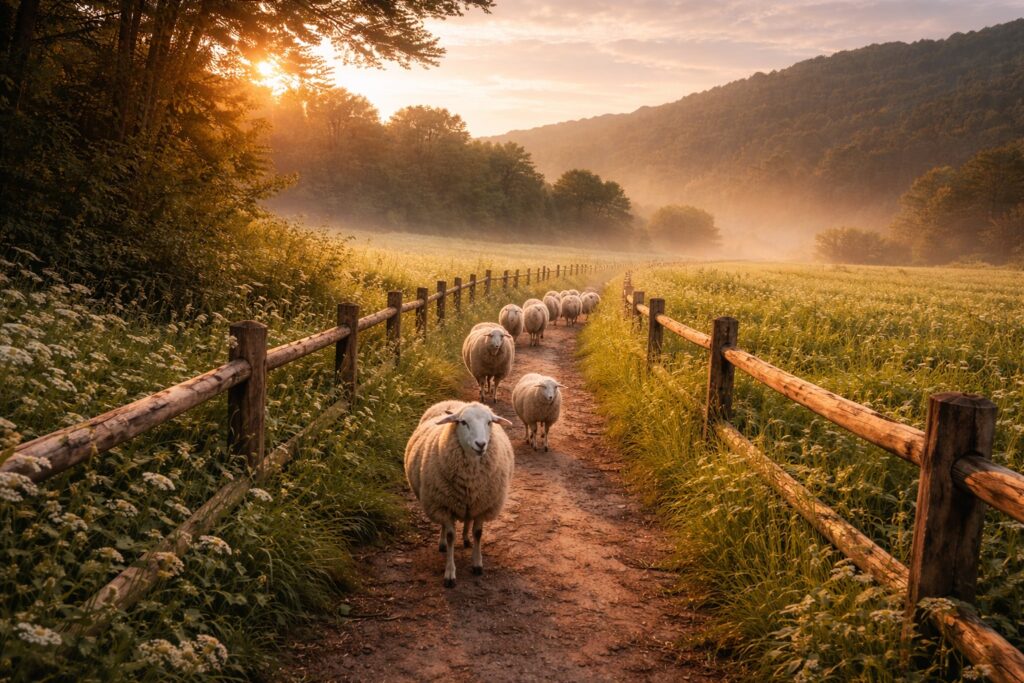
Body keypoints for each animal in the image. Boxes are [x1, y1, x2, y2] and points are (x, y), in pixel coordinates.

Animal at [405, 400, 514, 587]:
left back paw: (466, 538)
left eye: (489, 422)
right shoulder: (444, 505)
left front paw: (477, 564)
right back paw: (443, 543)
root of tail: (454, 402)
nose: (481, 444)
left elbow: (478, 533)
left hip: (470, 502)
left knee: (468, 520)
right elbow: (450, 536)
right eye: (463, 422)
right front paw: (450, 573)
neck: (470, 477)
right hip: (442, 502)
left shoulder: (481, 504)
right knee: (444, 526)